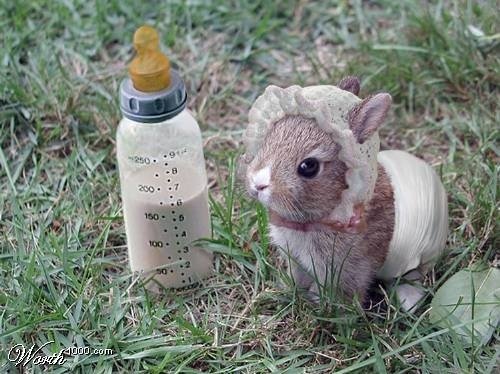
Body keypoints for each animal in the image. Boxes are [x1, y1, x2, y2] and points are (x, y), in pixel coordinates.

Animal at [243, 76, 450, 310]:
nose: (258, 183)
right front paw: (288, 290)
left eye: (309, 166)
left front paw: (329, 307)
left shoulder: (349, 267)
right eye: (270, 137)